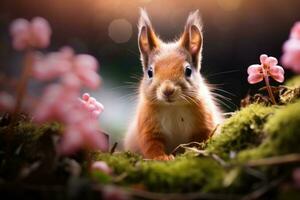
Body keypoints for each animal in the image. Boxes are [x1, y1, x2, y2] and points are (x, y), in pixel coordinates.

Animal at [124, 9, 223, 161]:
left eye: (188, 70)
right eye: (150, 72)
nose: (168, 90)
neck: (173, 107)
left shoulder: (205, 119)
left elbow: (204, 137)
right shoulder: (148, 126)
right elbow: (151, 145)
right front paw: (162, 158)